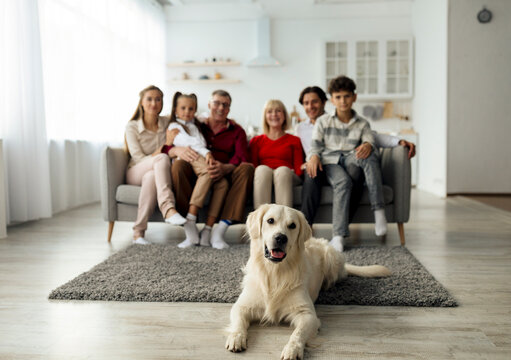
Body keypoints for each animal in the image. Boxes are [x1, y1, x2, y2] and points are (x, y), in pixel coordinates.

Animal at [225, 204, 392, 358]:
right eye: (270, 220)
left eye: (292, 225)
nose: (281, 238)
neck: (275, 273)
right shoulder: (241, 306)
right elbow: (238, 323)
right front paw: (236, 338)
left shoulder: (307, 314)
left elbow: (297, 334)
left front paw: (292, 350)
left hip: (331, 258)